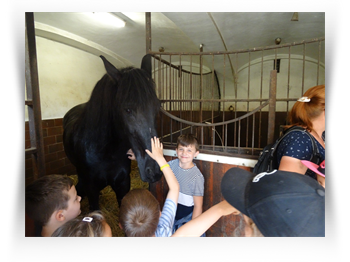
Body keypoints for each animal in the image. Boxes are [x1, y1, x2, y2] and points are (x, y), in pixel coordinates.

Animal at [62, 54, 163, 210]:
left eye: (157, 106)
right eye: (127, 109)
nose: (154, 171)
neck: (106, 151)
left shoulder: (123, 184)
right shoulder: (92, 189)